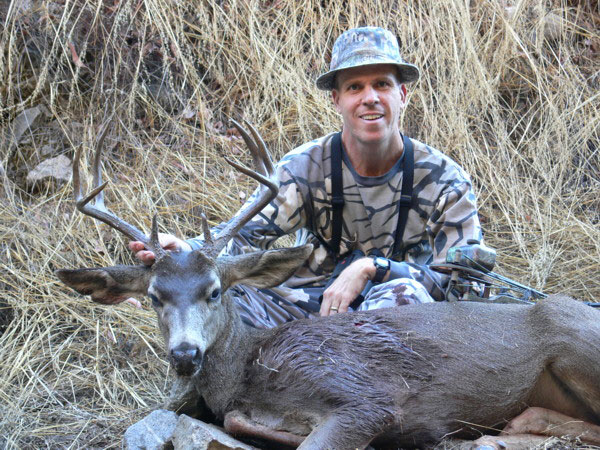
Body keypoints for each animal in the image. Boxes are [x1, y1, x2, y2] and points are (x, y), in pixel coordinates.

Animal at [56, 120, 600, 450]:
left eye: (214, 290)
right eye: (153, 298)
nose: (186, 354)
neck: (251, 368)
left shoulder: (364, 396)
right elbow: (235, 421)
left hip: (574, 337)